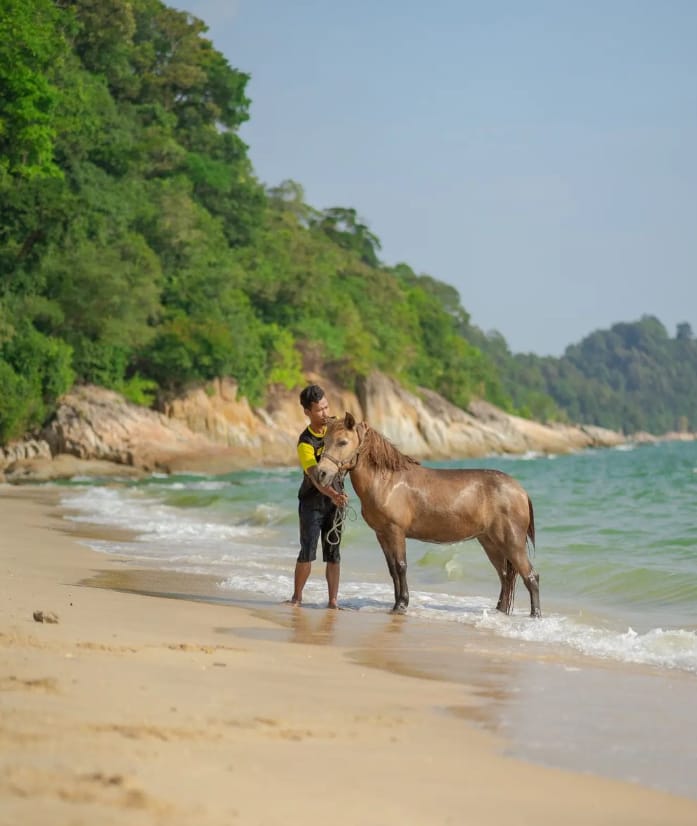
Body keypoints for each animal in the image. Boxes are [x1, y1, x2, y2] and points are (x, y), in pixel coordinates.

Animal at [314, 412, 540, 612]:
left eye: (343, 442)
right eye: (324, 441)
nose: (321, 473)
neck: (387, 481)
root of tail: (520, 490)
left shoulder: (395, 532)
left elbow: (401, 566)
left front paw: (402, 604)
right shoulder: (382, 534)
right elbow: (392, 569)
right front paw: (396, 603)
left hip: (512, 543)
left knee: (531, 576)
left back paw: (535, 615)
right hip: (490, 543)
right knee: (505, 576)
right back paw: (501, 610)